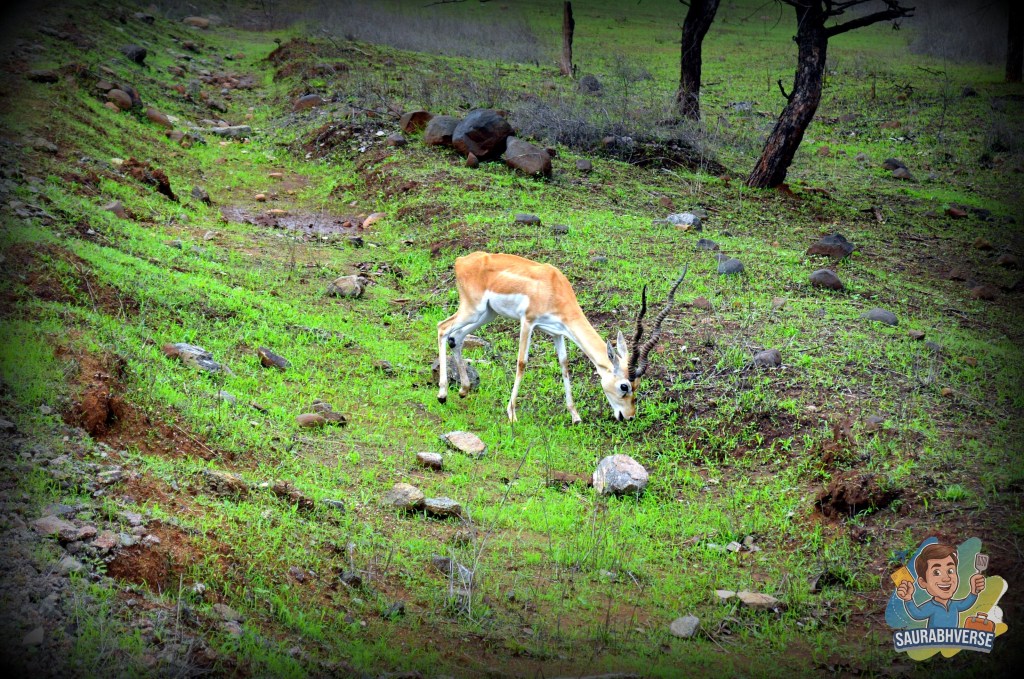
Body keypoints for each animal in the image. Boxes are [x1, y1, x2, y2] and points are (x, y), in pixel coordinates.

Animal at [436, 252, 686, 423]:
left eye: (638, 385)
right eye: (624, 386)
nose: (629, 416)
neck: (554, 287)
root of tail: (461, 260)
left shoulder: (558, 333)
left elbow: (564, 365)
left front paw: (575, 416)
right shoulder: (528, 322)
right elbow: (522, 363)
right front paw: (512, 413)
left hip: (487, 314)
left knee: (457, 337)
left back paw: (463, 390)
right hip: (473, 310)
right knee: (442, 328)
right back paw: (442, 395)